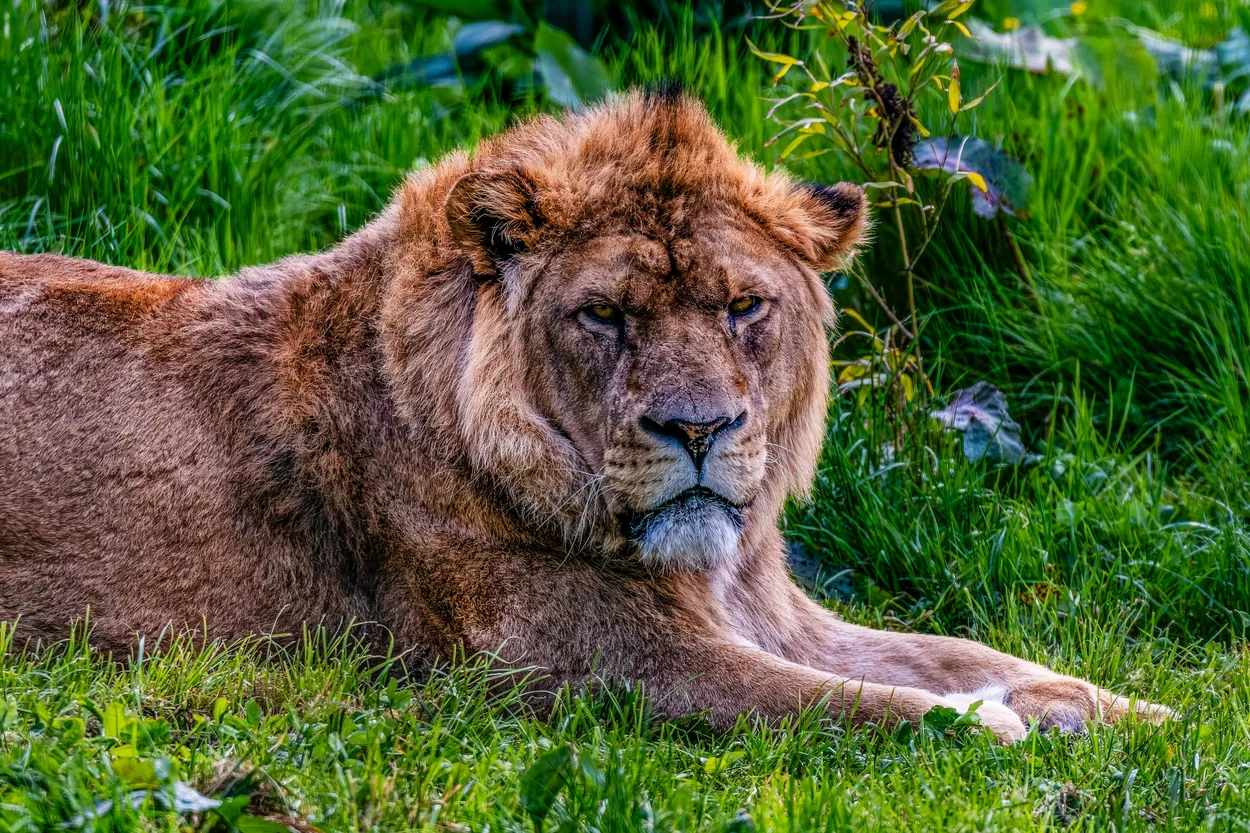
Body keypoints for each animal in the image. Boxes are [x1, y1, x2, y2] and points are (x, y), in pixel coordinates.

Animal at [0, 90, 1168, 741]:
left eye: (743, 306)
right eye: (604, 314)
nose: (698, 431)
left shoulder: (775, 610)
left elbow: (956, 649)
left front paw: (1129, 713)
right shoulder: (585, 665)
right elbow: (842, 701)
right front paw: (995, 730)